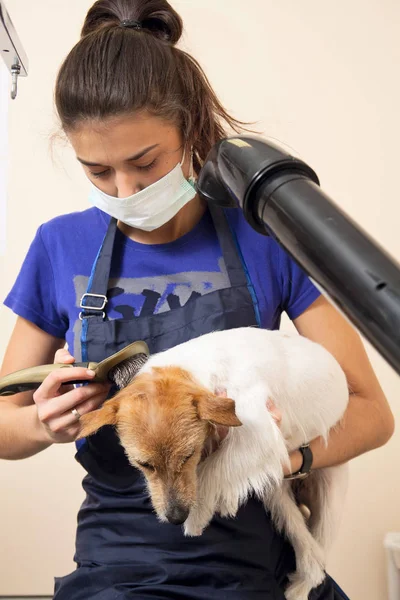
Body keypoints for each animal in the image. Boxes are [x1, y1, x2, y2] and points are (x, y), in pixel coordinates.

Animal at [78, 328, 350, 600]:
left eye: (188, 455)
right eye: (144, 464)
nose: (176, 517)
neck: (198, 366)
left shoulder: (257, 432)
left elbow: (213, 468)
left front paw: (197, 516)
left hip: (329, 506)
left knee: (319, 556)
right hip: (278, 496)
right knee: (310, 553)